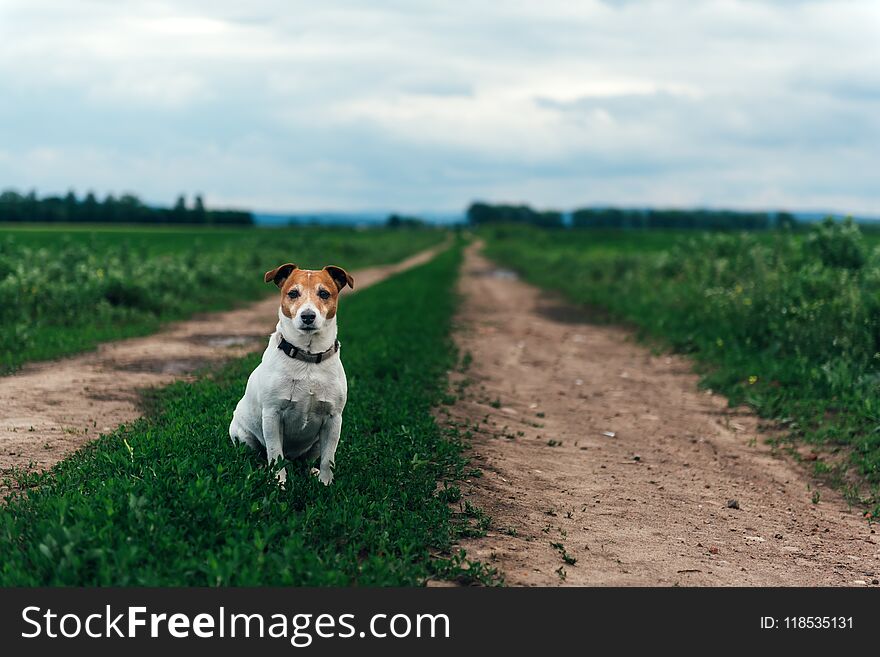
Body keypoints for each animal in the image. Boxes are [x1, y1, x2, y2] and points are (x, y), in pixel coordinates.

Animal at [229, 260, 356, 482]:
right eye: (293, 293)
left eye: (324, 293)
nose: (307, 316)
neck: (308, 356)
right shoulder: (272, 415)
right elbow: (274, 454)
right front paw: (279, 483)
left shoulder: (334, 420)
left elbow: (327, 460)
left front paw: (325, 484)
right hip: (242, 436)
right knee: (259, 455)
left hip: (315, 443)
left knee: (307, 461)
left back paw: (311, 472)